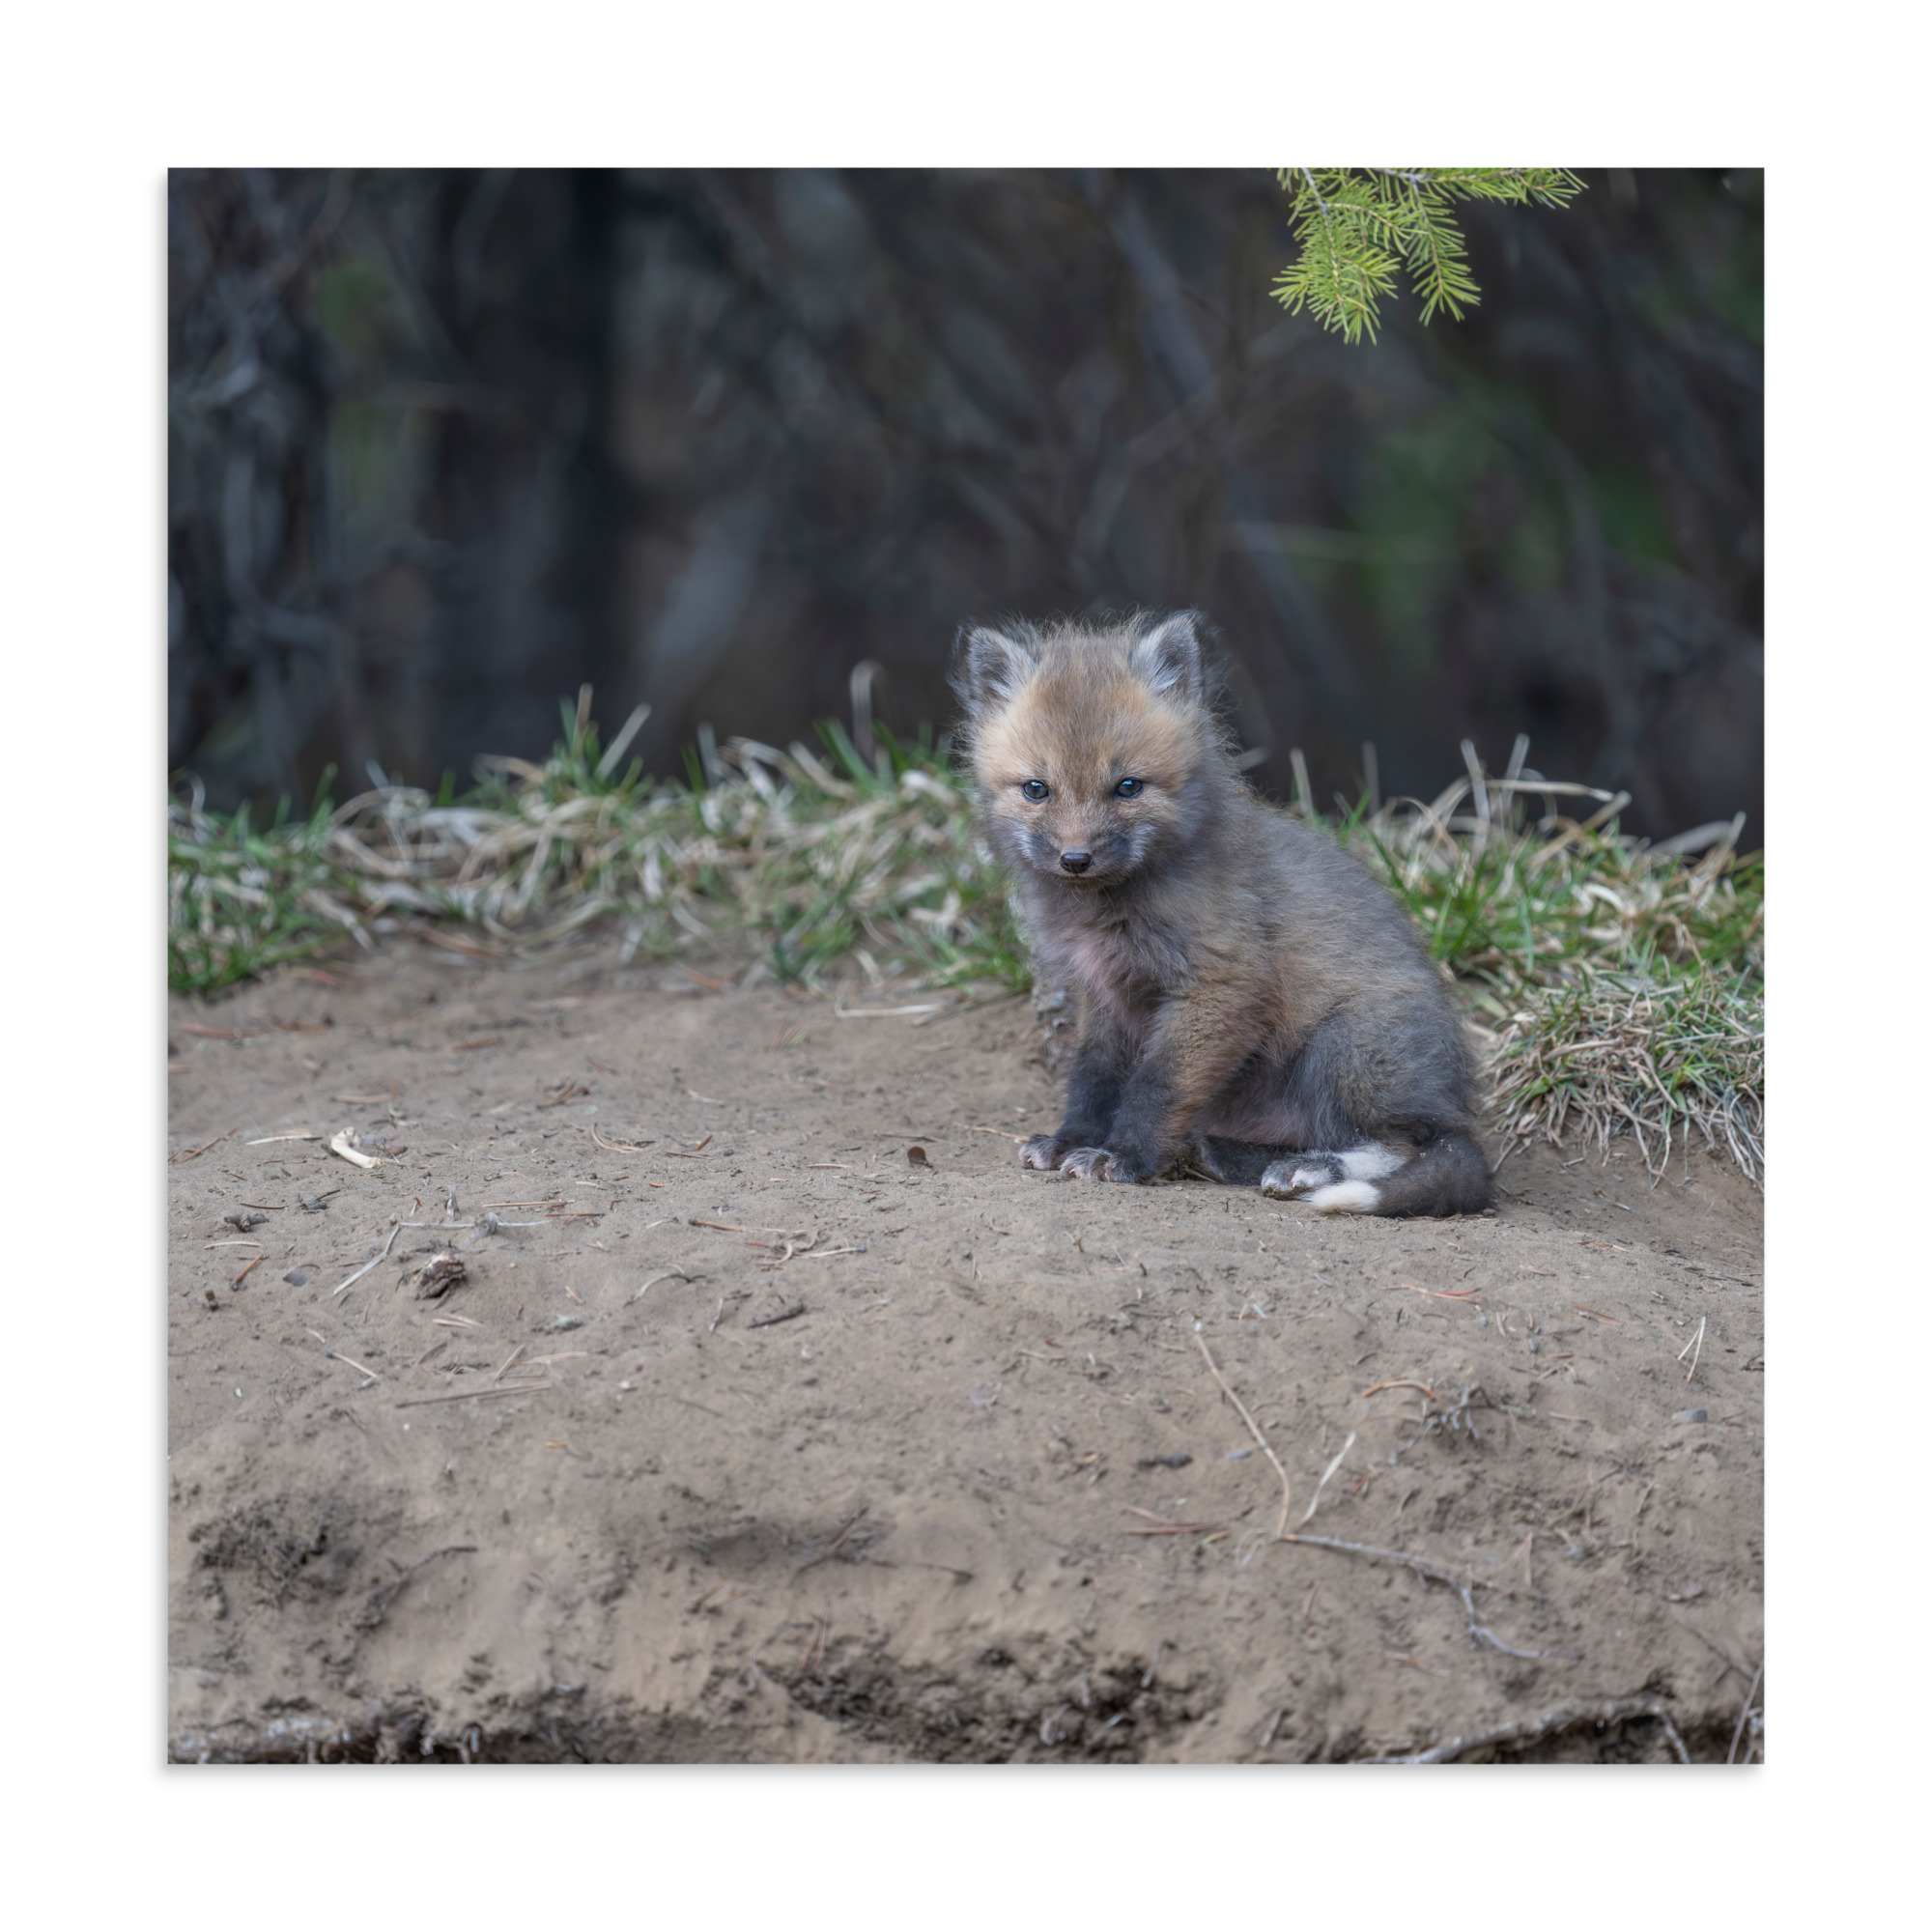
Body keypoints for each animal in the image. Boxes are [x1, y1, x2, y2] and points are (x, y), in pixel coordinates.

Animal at [950, 608, 1492, 1218]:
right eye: (1036, 789)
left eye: (1128, 787)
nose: (1075, 859)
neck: (1108, 911)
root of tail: (1454, 1103)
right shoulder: (1105, 996)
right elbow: (1093, 1079)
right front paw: (1072, 1141)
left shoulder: (1220, 984)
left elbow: (1155, 1085)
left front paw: (1124, 1157)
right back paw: (1227, 1155)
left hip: (1346, 1047)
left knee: (1410, 1145)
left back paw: (1311, 1169)